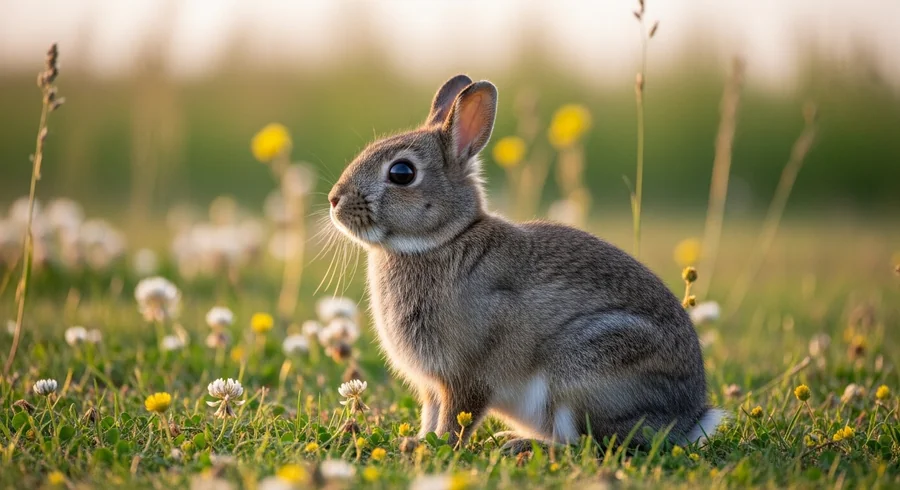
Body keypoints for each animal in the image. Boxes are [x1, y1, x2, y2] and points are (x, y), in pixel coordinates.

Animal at [327, 74, 726, 451]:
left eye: (402, 173)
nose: (334, 199)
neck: (443, 239)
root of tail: (686, 420)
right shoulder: (433, 387)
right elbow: (432, 413)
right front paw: (420, 441)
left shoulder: (467, 376)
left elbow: (457, 417)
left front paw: (437, 447)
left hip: (584, 371)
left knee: (589, 444)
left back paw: (522, 445)